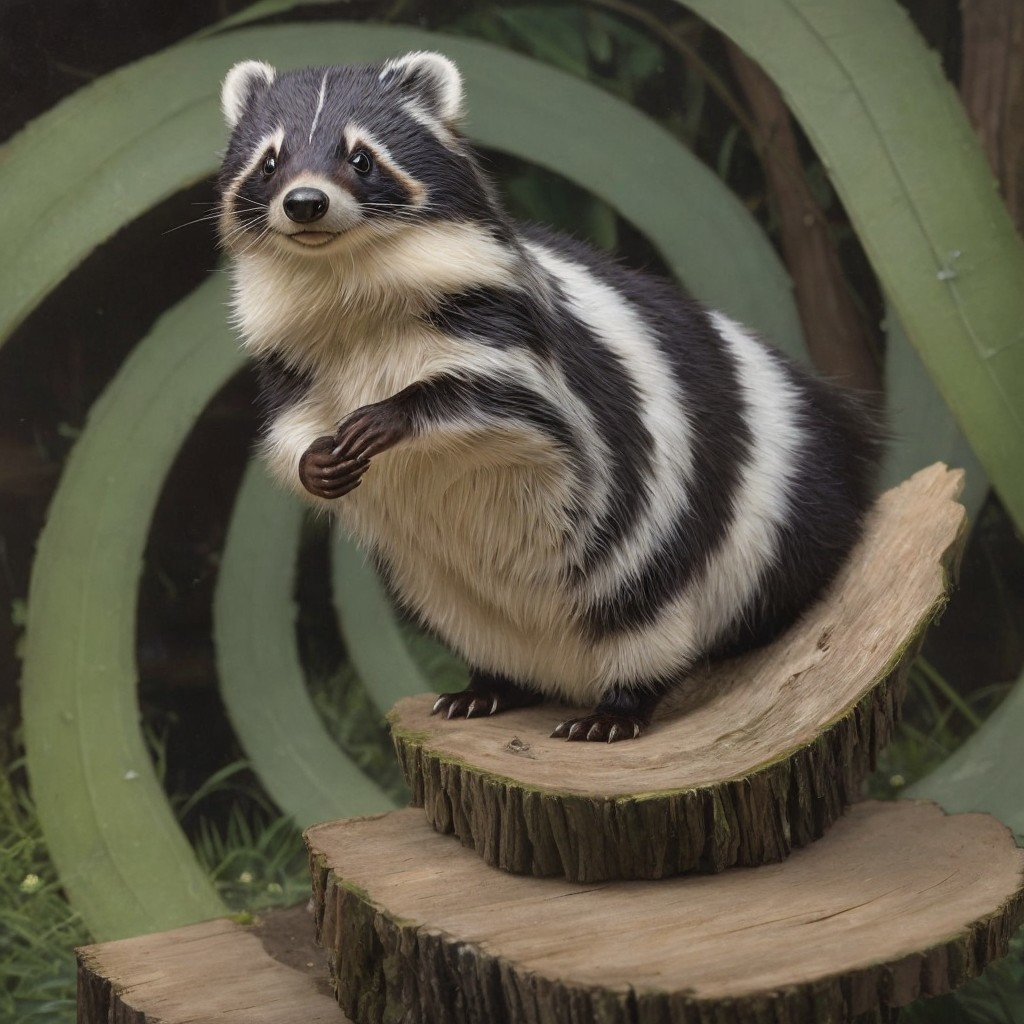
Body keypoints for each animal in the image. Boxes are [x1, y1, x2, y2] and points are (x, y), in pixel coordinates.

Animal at [217, 52, 882, 742]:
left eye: (361, 157)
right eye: (270, 161)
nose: (305, 203)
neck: (347, 292)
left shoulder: (512, 340)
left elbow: (496, 405)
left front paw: (390, 417)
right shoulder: (292, 363)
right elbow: (289, 429)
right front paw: (316, 462)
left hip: (666, 537)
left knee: (643, 615)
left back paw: (618, 707)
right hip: (451, 592)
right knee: (480, 626)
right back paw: (486, 687)